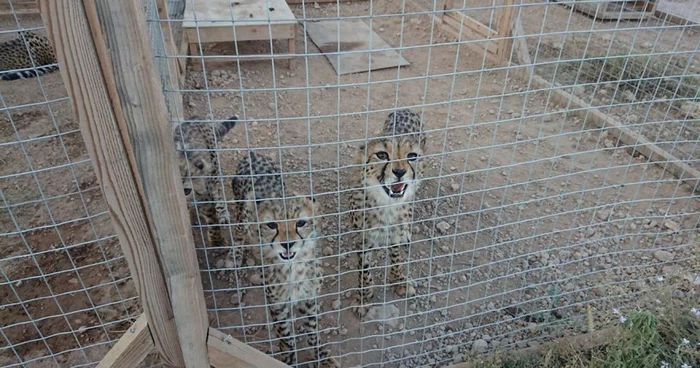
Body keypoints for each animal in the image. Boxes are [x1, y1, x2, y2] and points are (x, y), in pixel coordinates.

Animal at [173, 116, 237, 249]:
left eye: (186, 191)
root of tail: (195, 118)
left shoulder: (206, 199)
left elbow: (213, 224)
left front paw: (217, 242)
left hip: (214, 165)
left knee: (217, 187)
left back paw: (222, 211)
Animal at [230, 151, 340, 366]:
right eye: (271, 225)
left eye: (301, 223)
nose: (287, 244)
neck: (293, 267)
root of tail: (251, 154)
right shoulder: (278, 304)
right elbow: (286, 337)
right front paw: (288, 360)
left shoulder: (310, 298)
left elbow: (313, 331)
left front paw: (321, 356)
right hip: (241, 216)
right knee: (238, 234)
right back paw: (234, 258)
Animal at [350, 108, 426, 318]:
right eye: (382, 155)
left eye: (412, 156)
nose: (399, 171)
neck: (386, 206)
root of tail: (405, 109)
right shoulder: (363, 239)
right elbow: (364, 270)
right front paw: (363, 297)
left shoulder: (395, 232)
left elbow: (396, 256)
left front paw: (399, 280)